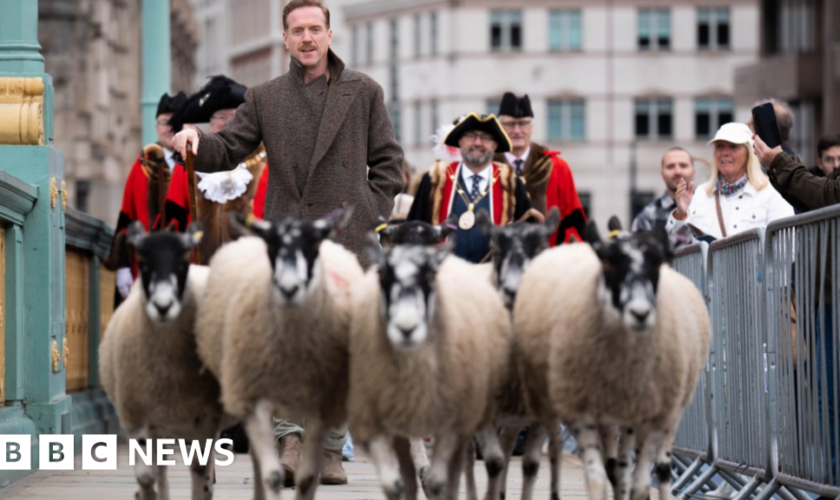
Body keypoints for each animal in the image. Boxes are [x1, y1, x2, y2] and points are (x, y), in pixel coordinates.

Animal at [99, 222, 223, 500]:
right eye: (143, 261)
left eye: (183, 260)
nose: (163, 306)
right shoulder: (139, 417)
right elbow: (147, 474)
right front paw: (146, 493)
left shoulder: (203, 420)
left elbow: (199, 471)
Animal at [512, 222, 708, 500]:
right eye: (608, 265)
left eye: (657, 264)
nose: (640, 314)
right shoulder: (584, 409)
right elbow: (601, 473)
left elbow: (637, 478)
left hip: (669, 410)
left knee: (660, 465)